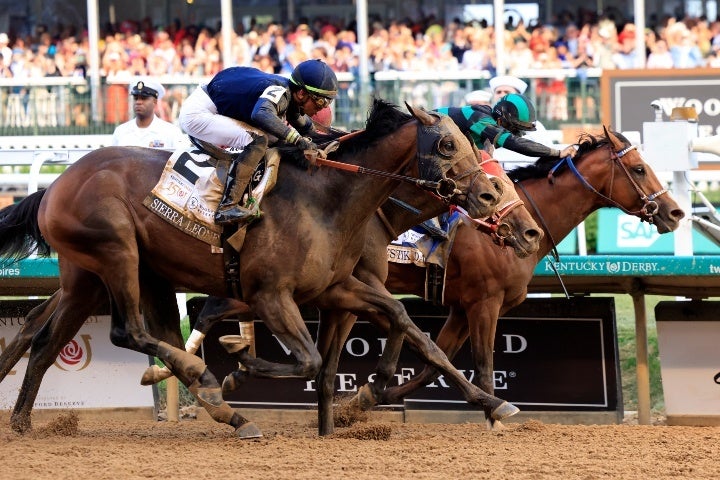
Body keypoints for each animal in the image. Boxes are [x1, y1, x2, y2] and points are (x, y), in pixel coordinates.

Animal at [0, 99, 512, 436]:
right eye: (446, 145)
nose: (488, 196)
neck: (327, 198)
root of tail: (55, 184)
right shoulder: (269, 294)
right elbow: (309, 359)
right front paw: (236, 366)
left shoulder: (335, 287)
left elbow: (412, 328)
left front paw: (489, 402)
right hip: (117, 253)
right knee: (128, 331)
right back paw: (213, 390)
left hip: (89, 278)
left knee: (46, 341)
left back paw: (23, 420)